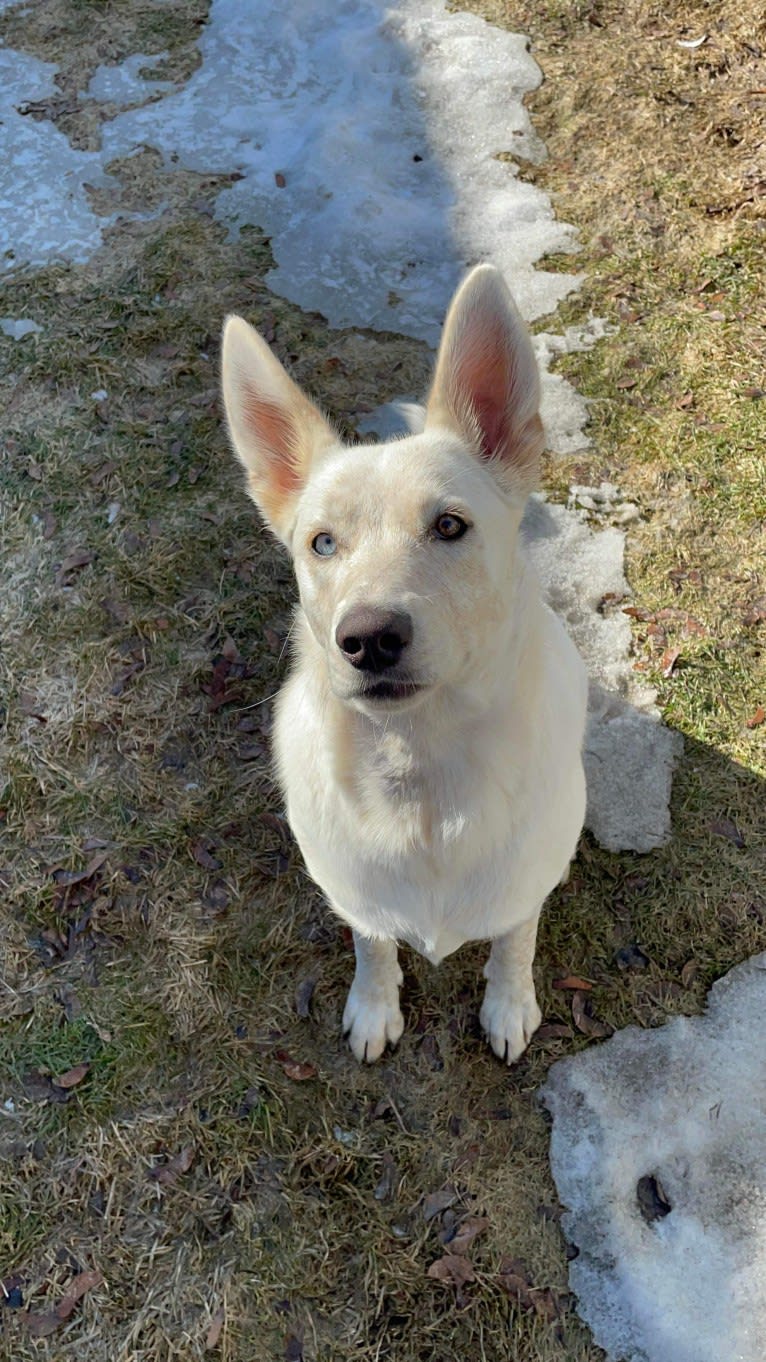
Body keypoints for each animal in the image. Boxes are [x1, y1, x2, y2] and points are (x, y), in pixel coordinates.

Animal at [220, 268, 583, 1062]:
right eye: (323, 543)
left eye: (449, 525)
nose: (368, 639)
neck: (421, 771)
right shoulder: (353, 891)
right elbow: (373, 943)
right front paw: (374, 1003)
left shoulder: (526, 885)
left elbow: (514, 942)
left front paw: (510, 1004)